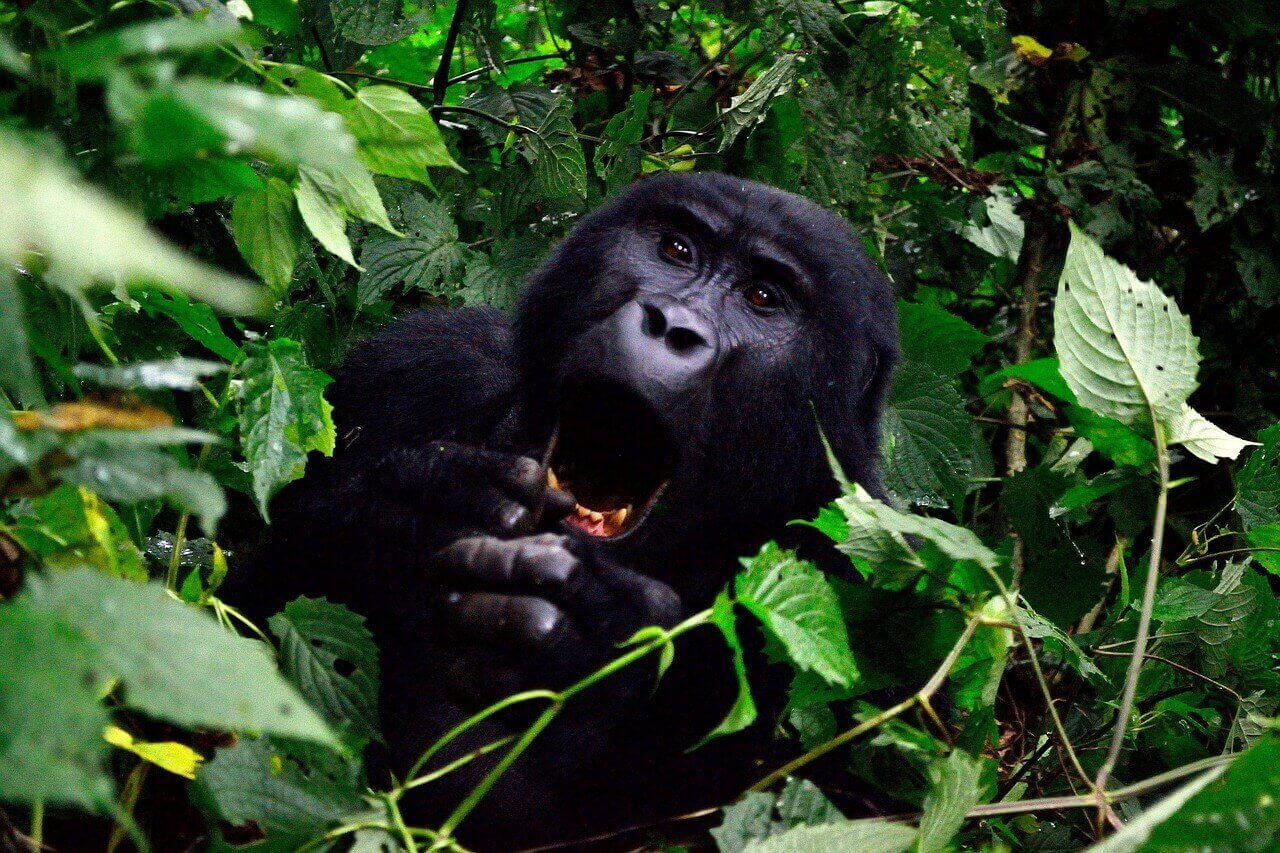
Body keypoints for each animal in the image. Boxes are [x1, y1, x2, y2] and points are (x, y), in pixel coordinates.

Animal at [244, 171, 896, 845]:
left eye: (763, 297)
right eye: (676, 250)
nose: (671, 325)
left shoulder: (857, 565)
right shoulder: (414, 361)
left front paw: (607, 628)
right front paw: (406, 517)